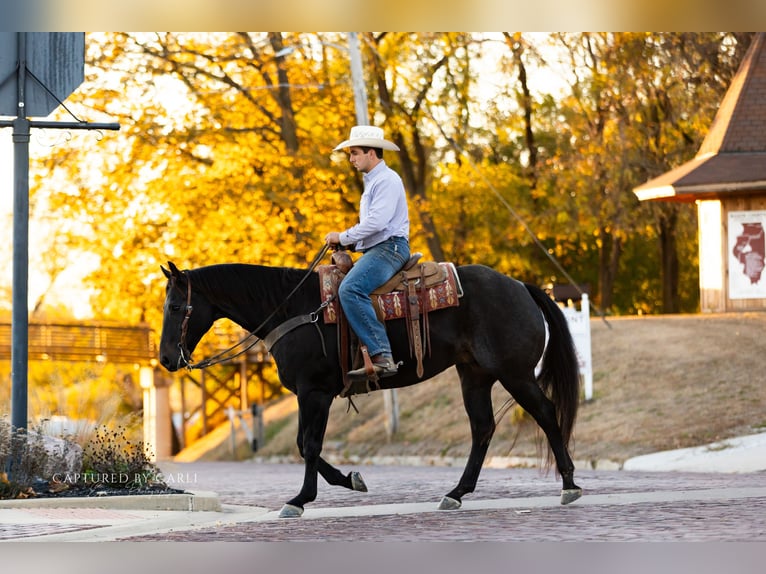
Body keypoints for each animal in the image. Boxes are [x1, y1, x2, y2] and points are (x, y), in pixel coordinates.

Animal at [159, 258, 583, 517]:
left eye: (176, 307)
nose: (164, 359)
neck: (295, 309)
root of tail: (521, 286)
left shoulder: (315, 392)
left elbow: (308, 445)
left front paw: (300, 499)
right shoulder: (311, 395)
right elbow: (305, 445)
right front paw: (351, 480)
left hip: (516, 374)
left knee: (546, 414)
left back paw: (569, 484)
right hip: (475, 376)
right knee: (483, 429)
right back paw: (456, 493)